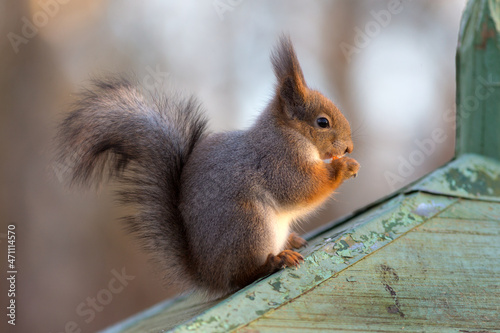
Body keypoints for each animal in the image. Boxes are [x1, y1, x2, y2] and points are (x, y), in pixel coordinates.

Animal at [55, 35, 360, 296]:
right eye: (322, 122)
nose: (349, 148)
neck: (290, 133)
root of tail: (209, 275)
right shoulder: (277, 161)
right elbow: (301, 188)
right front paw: (343, 167)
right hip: (249, 227)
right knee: (243, 275)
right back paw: (275, 260)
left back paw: (291, 241)